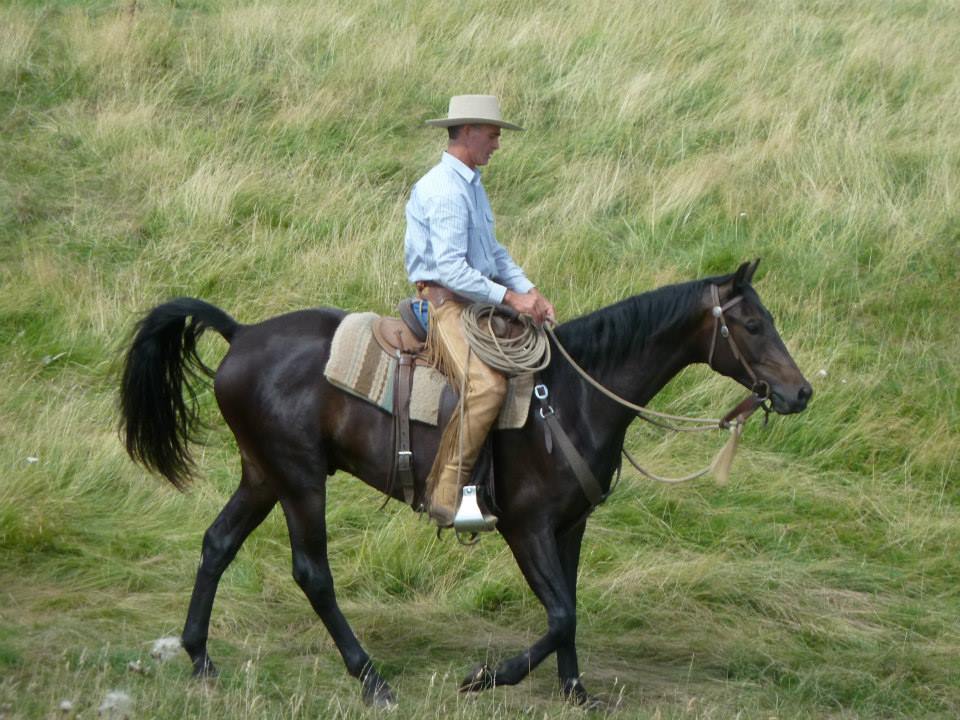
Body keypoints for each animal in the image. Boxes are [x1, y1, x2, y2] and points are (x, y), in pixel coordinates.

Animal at [118, 256, 808, 704]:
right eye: (751, 325)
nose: (799, 392)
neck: (572, 398)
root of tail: (242, 334)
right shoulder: (527, 528)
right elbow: (560, 613)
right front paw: (486, 677)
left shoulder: (571, 526)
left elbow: (571, 608)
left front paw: (575, 690)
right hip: (299, 479)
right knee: (312, 572)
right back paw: (372, 680)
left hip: (263, 474)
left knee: (217, 544)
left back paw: (201, 659)